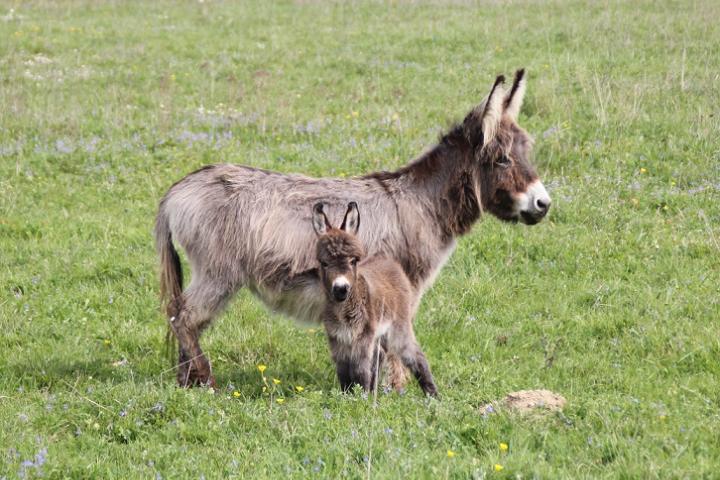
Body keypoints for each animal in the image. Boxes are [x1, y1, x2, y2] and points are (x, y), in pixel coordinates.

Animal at [312, 201, 436, 396]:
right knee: (381, 356)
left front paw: (360, 397)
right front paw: (347, 395)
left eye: (353, 261)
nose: (341, 290)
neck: (343, 312)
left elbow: (360, 370)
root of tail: (390, 262)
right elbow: (343, 371)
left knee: (415, 355)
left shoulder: (362, 338)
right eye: (324, 263)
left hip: (398, 328)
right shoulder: (338, 339)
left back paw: (432, 396)